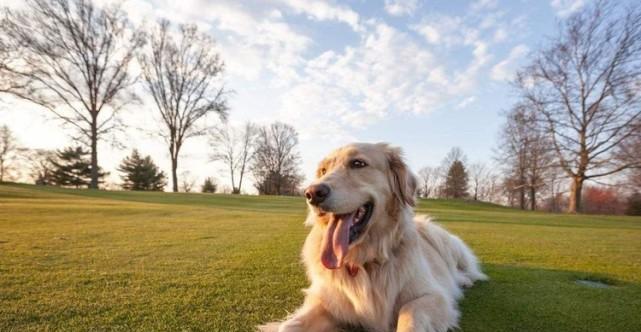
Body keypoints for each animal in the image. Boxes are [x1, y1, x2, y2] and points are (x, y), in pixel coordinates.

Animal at [258, 143, 484, 332]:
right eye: (323, 171)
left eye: (358, 163)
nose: (312, 193)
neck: (364, 261)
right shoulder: (327, 302)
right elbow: (287, 327)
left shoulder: (433, 296)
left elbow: (409, 313)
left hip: (442, 239)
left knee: (467, 270)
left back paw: (464, 280)